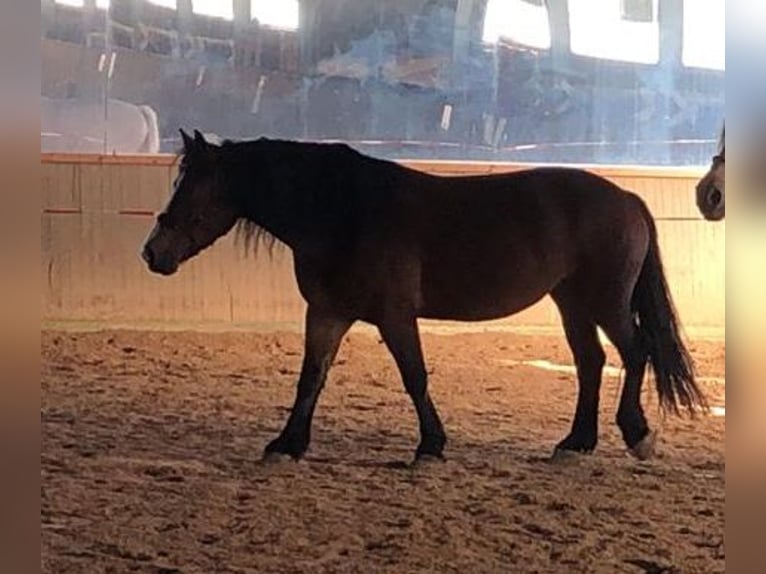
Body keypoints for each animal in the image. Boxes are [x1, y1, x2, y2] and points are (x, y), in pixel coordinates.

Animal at [142, 129, 708, 464]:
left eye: (192, 187)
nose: (153, 253)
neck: (344, 211)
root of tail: (627, 198)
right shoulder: (327, 312)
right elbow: (311, 377)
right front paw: (288, 444)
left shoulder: (395, 316)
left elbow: (414, 377)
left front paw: (431, 445)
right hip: (571, 302)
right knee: (591, 362)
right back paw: (575, 443)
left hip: (606, 302)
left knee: (635, 353)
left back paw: (637, 435)